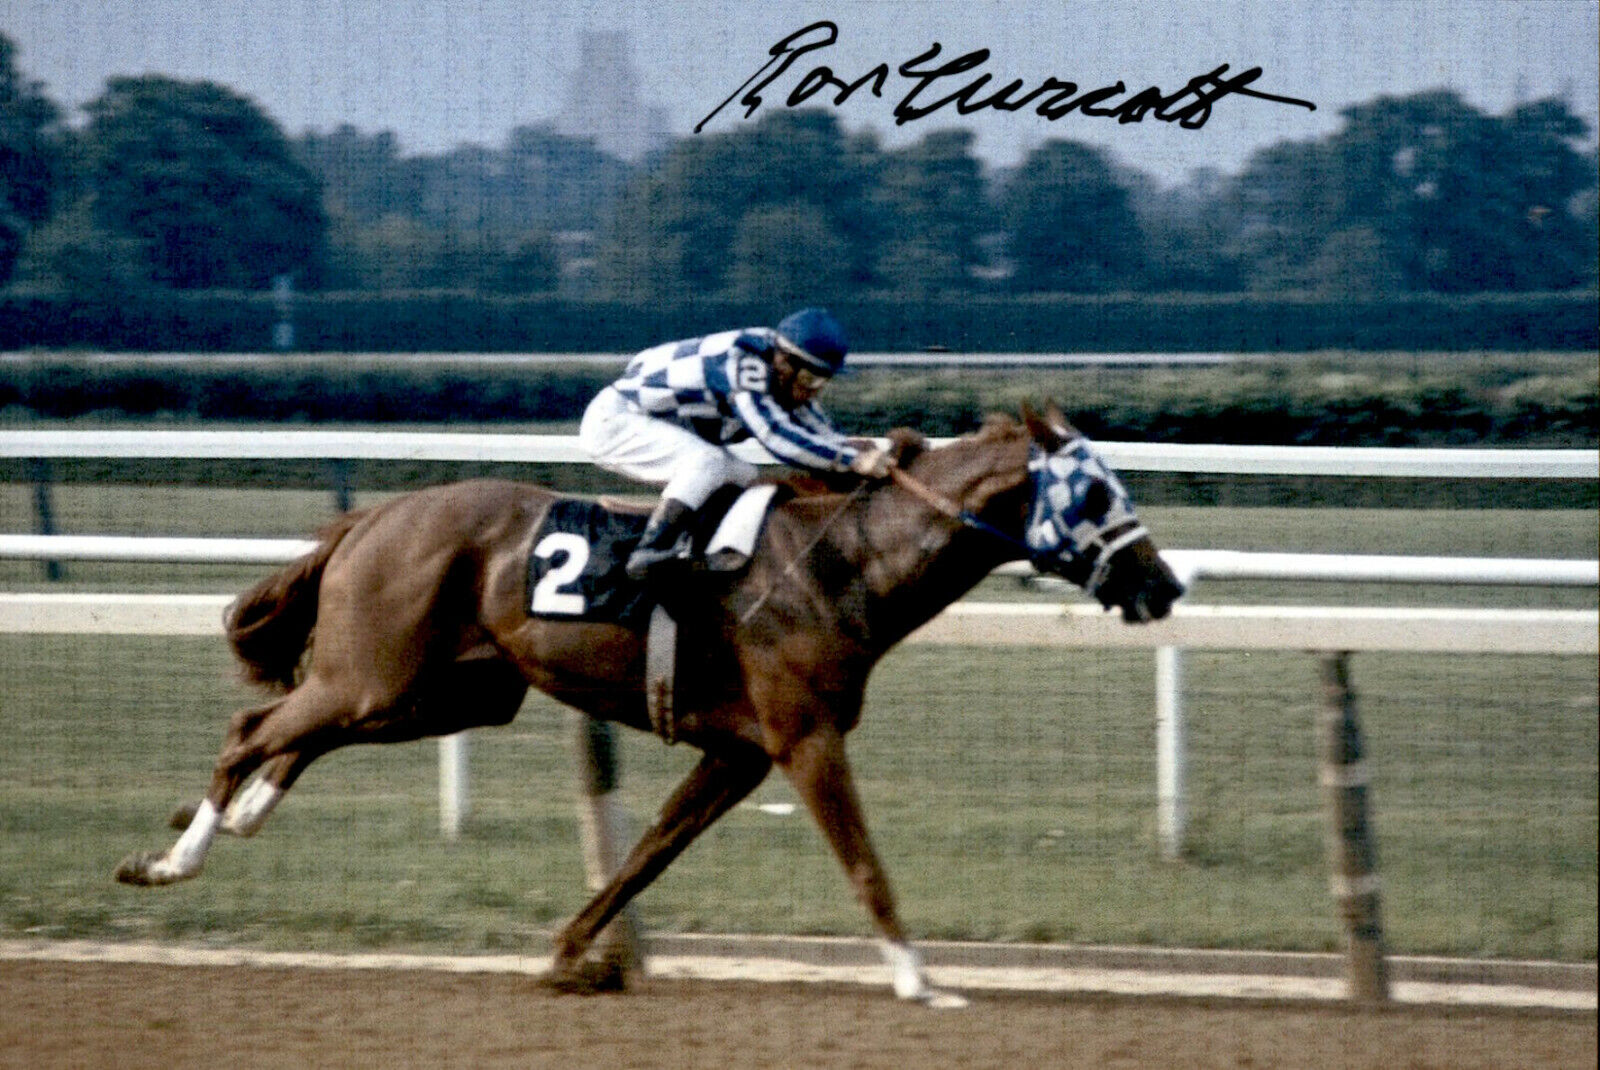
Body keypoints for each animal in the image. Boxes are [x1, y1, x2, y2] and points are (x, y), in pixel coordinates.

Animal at [118, 404, 1184, 1004]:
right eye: (1095, 493)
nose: (1164, 584)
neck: (843, 562)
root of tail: (374, 513)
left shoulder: (738, 754)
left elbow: (644, 858)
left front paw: (568, 956)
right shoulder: (804, 740)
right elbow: (865, 865)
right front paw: (922, 980)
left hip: (441, 692)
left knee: (297, 733)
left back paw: (244, 816)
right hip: (379, 676)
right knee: (252, 727)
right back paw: (170, 859)